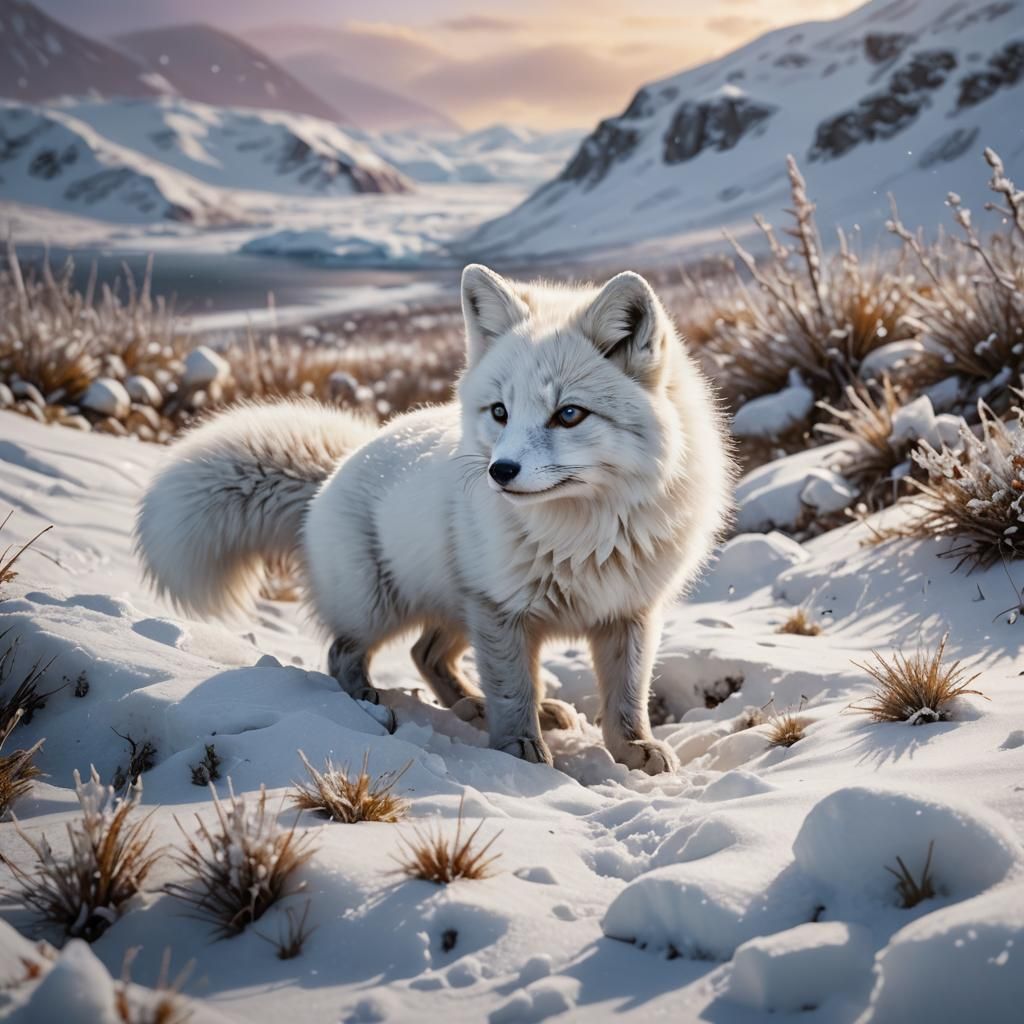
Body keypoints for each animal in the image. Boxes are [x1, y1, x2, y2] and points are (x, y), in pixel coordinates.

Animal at [135, 265, 734, 773]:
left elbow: (627, 697)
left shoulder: (630, 612)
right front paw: (522, 751)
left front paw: (633, 751)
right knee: (342, 653)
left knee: (425, 654)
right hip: (381, 608)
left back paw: (475, 705)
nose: (500, 471)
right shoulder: (501, 610)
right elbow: (515, 691)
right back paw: (369, 702)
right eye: (500, 412)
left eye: (569, 414)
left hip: (455, 610)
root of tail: (336, 469)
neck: (583, 534)